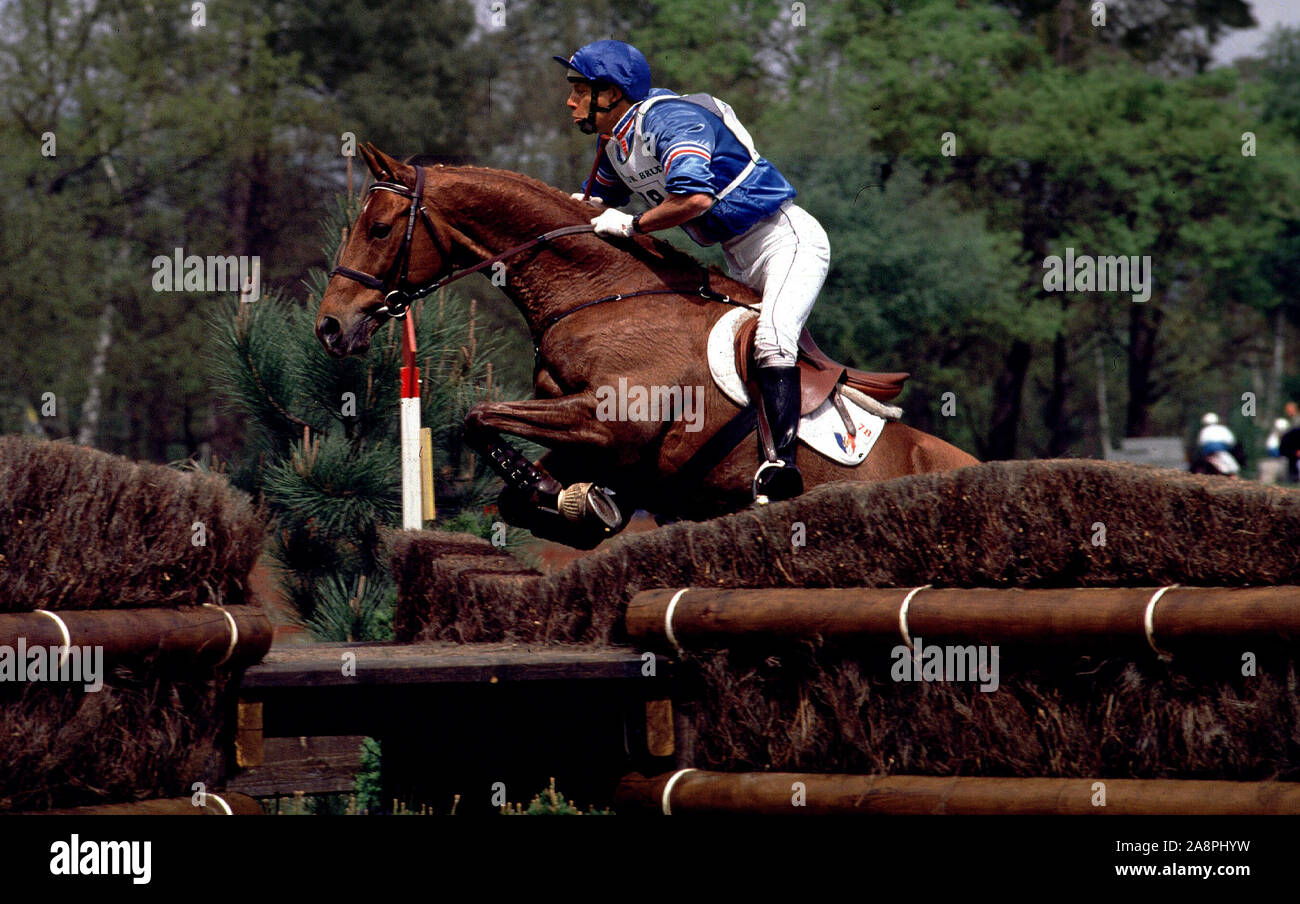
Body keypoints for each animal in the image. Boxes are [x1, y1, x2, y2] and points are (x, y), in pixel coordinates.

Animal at [317, 145, 977, 548]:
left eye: (378, 228)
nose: (330, 327)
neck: (599, 296)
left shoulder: (610, 421)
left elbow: (478, 416)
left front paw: (559, 495)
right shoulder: (586, 436)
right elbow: (514, 489)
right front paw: (582, 503)